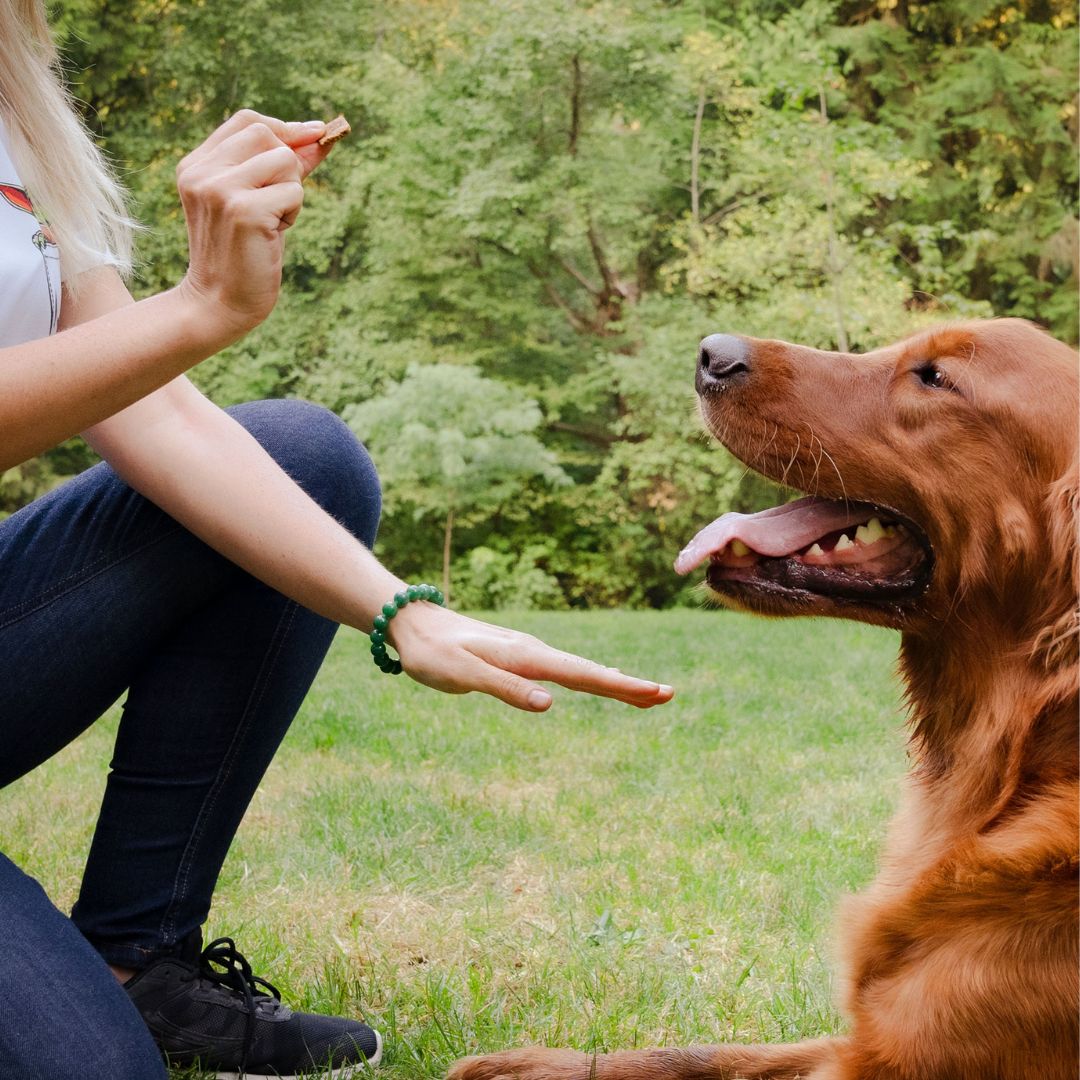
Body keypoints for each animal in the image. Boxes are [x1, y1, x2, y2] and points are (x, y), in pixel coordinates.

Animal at [449, 317, 1080, 1080]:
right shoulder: (858, 1038)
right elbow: (696, 1052)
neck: (1010, 774)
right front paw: (533, 1063)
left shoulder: (893, 1060)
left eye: (935, 376)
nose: (711, 354)